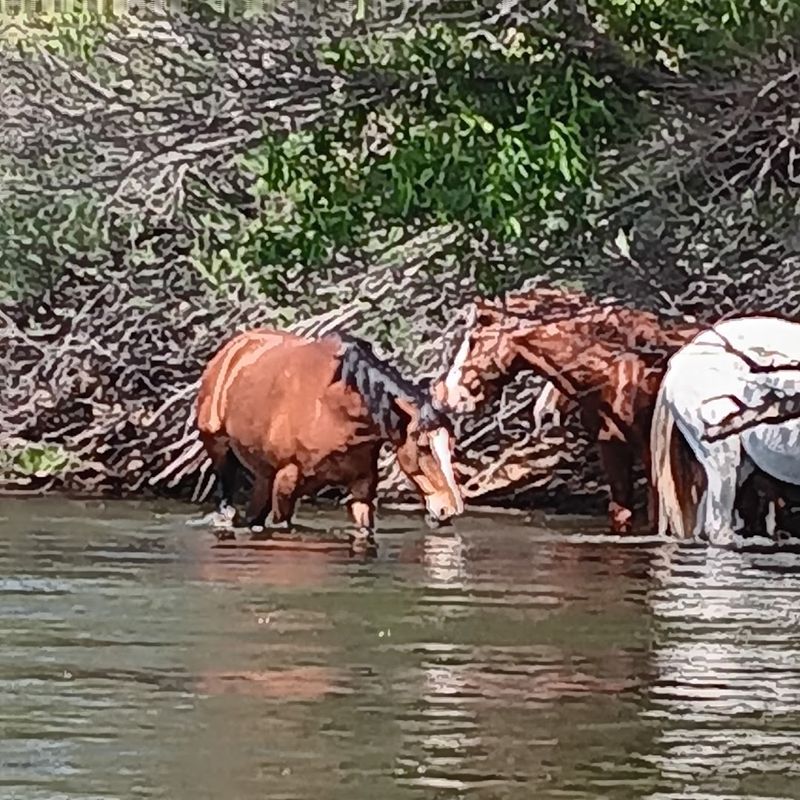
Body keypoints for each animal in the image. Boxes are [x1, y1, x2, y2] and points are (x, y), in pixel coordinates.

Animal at [196, 327, 463, 539]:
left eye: (450, 445)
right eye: (423, 447)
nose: (450, 509)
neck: (335, 409)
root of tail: (230, 350)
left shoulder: (362, 488)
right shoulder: (286, 483)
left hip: (263, 476)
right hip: (221, 453)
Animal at [434, 288, 703, 533]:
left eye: (473, 341)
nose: (444, 396)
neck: (623, 368)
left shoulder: (652, 456)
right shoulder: (612, 445)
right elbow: (622, 513)